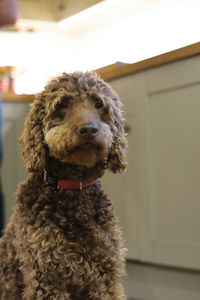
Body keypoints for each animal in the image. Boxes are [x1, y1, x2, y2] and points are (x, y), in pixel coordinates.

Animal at [0, 71, 127, 298]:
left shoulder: (106, 277)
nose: (89, 129)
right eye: (63, 104)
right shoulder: (46, 279)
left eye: (98, 104)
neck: (73, 188)